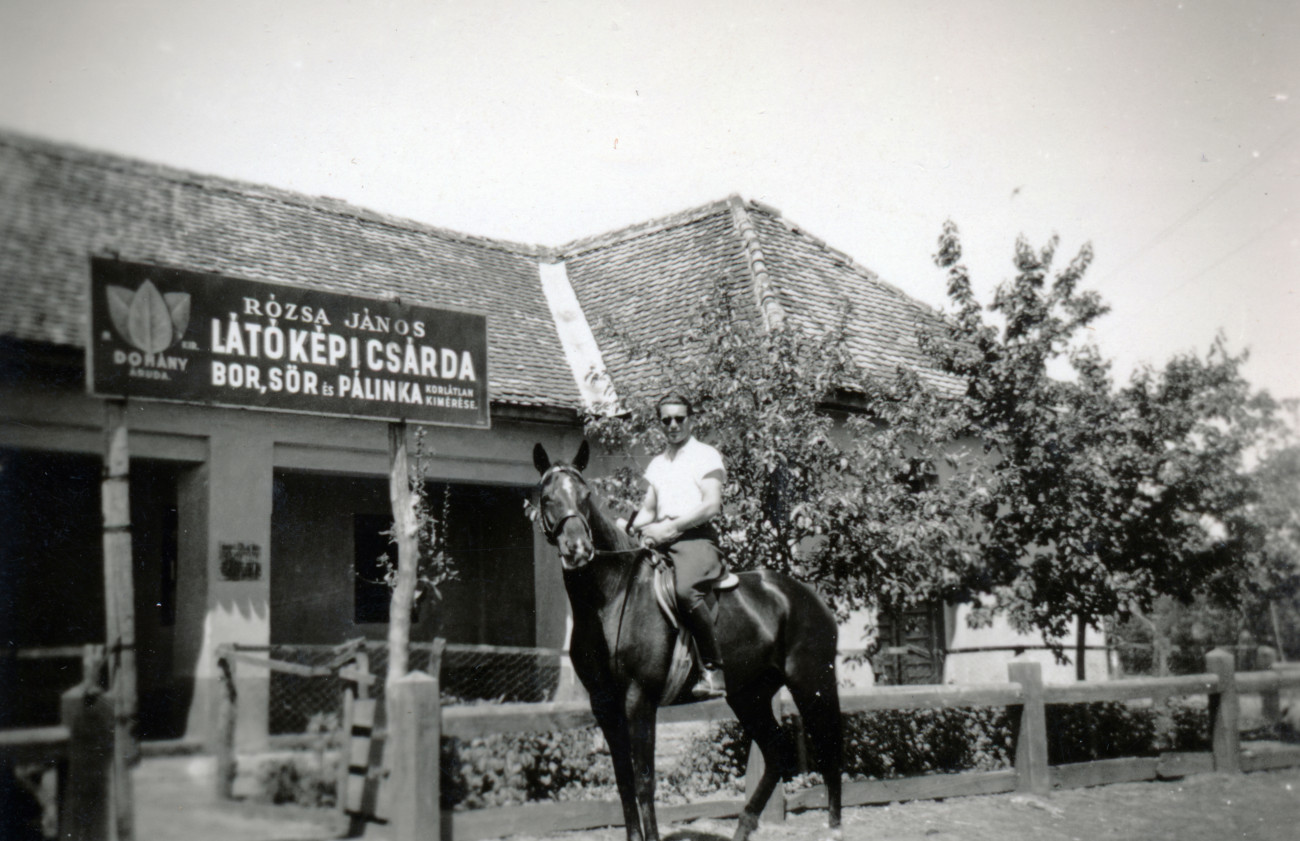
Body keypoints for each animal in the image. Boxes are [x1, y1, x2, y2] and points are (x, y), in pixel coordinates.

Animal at [530, 441, 842, 841]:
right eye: (547, 497)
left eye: (585, 496)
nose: (578, 549)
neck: (612, 595)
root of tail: (807, 596)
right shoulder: (605, 705)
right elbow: (624, 782)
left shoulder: (639, 700)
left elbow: (644, 781)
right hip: (750, 694)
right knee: (776, 752)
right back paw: (743, 827)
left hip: (811, 682)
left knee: (829, 745)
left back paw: (833, 826)